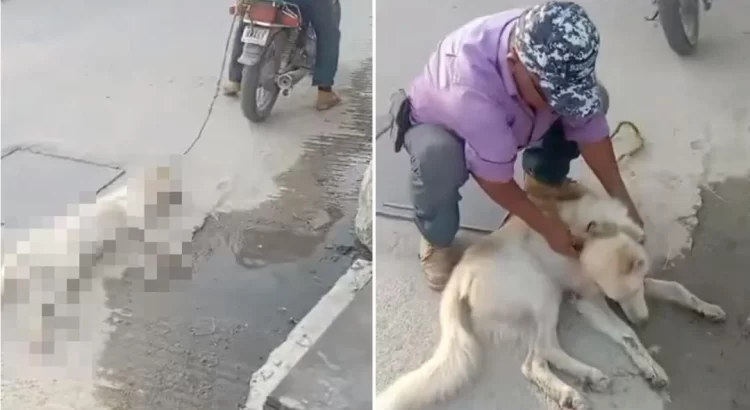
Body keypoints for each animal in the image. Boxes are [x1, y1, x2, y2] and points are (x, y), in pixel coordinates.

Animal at [378, 191, 732, 410]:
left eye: (635, 293)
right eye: (620, 297)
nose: (644, 320)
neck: (593, 231)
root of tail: (459, 275)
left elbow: (676, 288)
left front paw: (707, 308)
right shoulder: (589, 301)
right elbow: (627, 335)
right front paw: (651, 366)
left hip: (533, 311)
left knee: (534, 362)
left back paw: (574, 387)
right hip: (543, 290)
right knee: (543, 351)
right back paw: (582, 380)